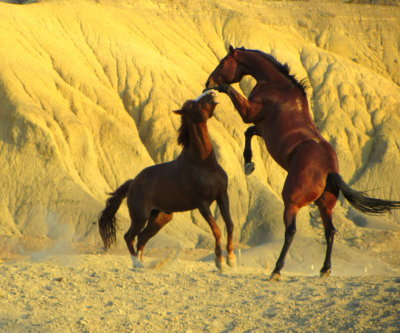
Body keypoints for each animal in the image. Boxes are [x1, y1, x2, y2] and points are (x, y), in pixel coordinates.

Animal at [98, 90, 236, 270]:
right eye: (195, 104)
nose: (212, 92)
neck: (203, 164)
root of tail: (132, 183)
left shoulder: (222, 196)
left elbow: (230, 225)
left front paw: (231, 259)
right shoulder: (202, 204)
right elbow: (217, 230)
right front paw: (219, 261)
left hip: (159, 218)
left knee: (142, 238)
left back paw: (143, 264)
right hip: (140, 216)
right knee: (129, 236)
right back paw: (137, 264)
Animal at [206, 46, 400, 280]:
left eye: (223, 62)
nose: (208, 82)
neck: (279, 88)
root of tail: (331, 171)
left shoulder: (249, 113)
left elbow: (235, 103)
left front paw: (217, 89)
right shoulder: (260, 127)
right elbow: (249, 133)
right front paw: (248, 164)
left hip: (291, 201)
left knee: (291, 231)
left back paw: (277, 271)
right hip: (325, 205)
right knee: (330, 231)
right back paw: (325, 270)